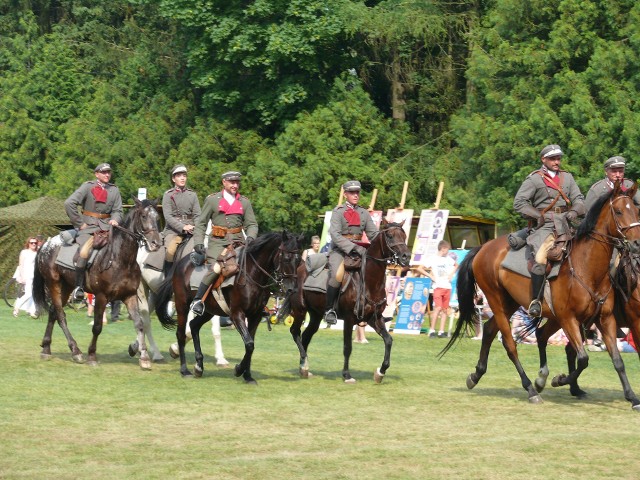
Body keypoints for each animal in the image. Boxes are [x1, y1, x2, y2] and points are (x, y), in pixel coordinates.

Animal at [32, 198, 162, 368]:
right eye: (144, 216)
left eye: (157, 217)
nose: (156, 243)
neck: (121, 260)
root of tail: (46, 245)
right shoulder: (101, 297)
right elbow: (97, 327)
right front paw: (92, 356)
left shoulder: (130, 296)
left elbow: (139, 324)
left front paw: (144, 357)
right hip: (53, 284)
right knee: (60, 315)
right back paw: (76, 351)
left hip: (66, 286)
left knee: (53, 312)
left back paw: (46, 348)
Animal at [155, 231, 304, 384]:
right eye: (286, 258)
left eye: (298, 260)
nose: (292, 289)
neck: (252, 275)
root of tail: (180, 263)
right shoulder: (237, 315)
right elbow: (249, 344)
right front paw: (238, 370)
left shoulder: (255, 316)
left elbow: (251, 345)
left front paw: (248, 376)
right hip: (182, 306)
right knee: (181, 334)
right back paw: (185, 370)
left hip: (208, 311)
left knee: (194, 325)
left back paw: (199, 366)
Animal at [282, 221, 412, 382]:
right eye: (390, 235)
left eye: (404, 236)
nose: (406, 256)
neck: (369, 282)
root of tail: (298, 270)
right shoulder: (349, 319)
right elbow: (347, 347)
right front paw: (347, 375)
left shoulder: (374, 318)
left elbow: (388, 340)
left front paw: (380, 372)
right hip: (300, 311)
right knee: (295, 332)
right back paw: (304, 365)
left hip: (316, 315)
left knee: (306, 336)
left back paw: (304, 367)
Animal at [442, 182, 640, 404]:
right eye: (619, 211)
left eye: (636, 211)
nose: (636, 243)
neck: (587, 267)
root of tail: (484, 247)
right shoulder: (568, 319)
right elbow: (583, 359)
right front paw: (559, 379)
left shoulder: (605, 319)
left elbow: (617, 360)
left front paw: (632, 397)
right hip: (497, 302)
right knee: (510, 345)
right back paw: (531, 388)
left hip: (511, 303)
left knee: (493, 330)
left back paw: (477, 375)